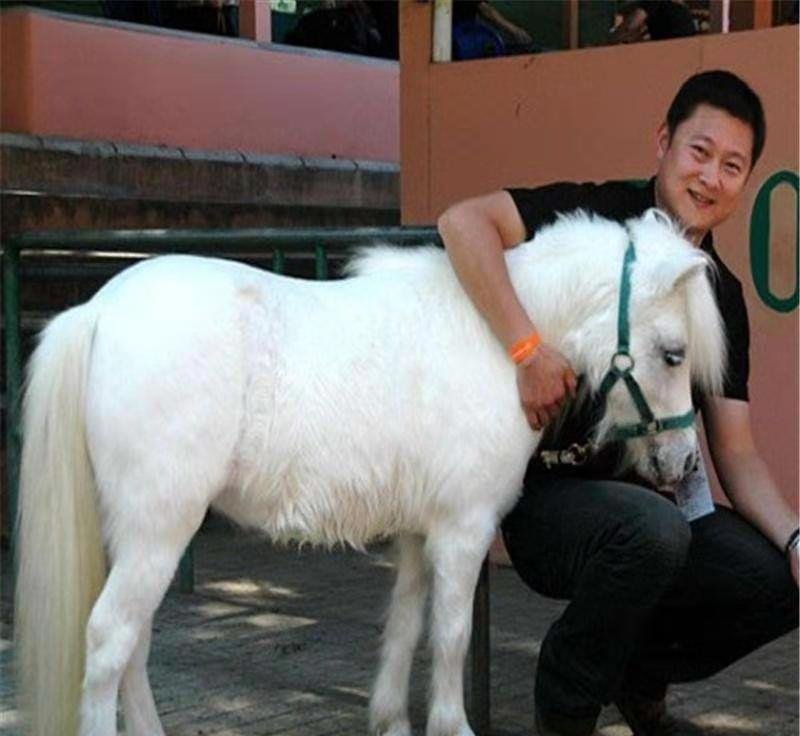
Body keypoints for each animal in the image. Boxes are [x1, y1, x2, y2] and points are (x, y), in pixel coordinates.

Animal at [14, 209, 725, 736]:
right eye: (673, 354)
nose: (684, 462)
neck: (497, 338)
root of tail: (97, 313)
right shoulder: (463, 532)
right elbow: (450, 635)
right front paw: (450, 726)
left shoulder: (417, 531)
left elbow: (405, 626)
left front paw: (390, 721)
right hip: (158, 531)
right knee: (110, 640)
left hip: (135, 535)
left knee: (132, 649)